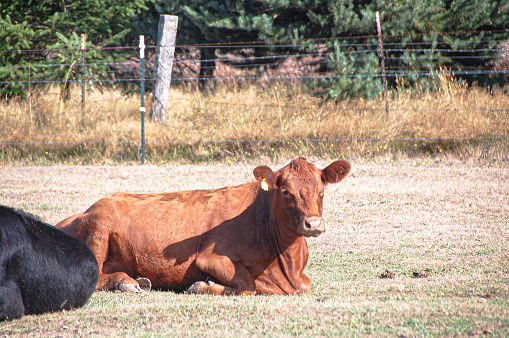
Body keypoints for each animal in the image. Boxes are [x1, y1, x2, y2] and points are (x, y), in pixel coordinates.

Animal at [55, 157, 350, 294]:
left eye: (322, 190)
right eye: (286, 192)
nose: (313, 223)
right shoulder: (208, 257)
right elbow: (248, 285)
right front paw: (203, 286)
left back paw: (137, 280)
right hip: (99, 226)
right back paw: (125, 282)